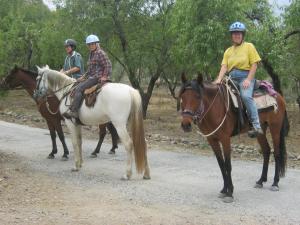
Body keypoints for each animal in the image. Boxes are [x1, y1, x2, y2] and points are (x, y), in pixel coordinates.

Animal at [178, 73, 288, 203]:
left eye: (197, 96)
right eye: (182, 97)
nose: (186, 124)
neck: (216, 107)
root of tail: (278, 96)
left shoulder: (225, 139)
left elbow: (228, 165)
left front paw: (230, 193)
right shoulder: (212, 140)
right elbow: (221, 165)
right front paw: (224, 190)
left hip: (275, 128)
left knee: (277, 153)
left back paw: (275, 183)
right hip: (260, 130)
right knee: (266, 150)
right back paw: (261, 181)